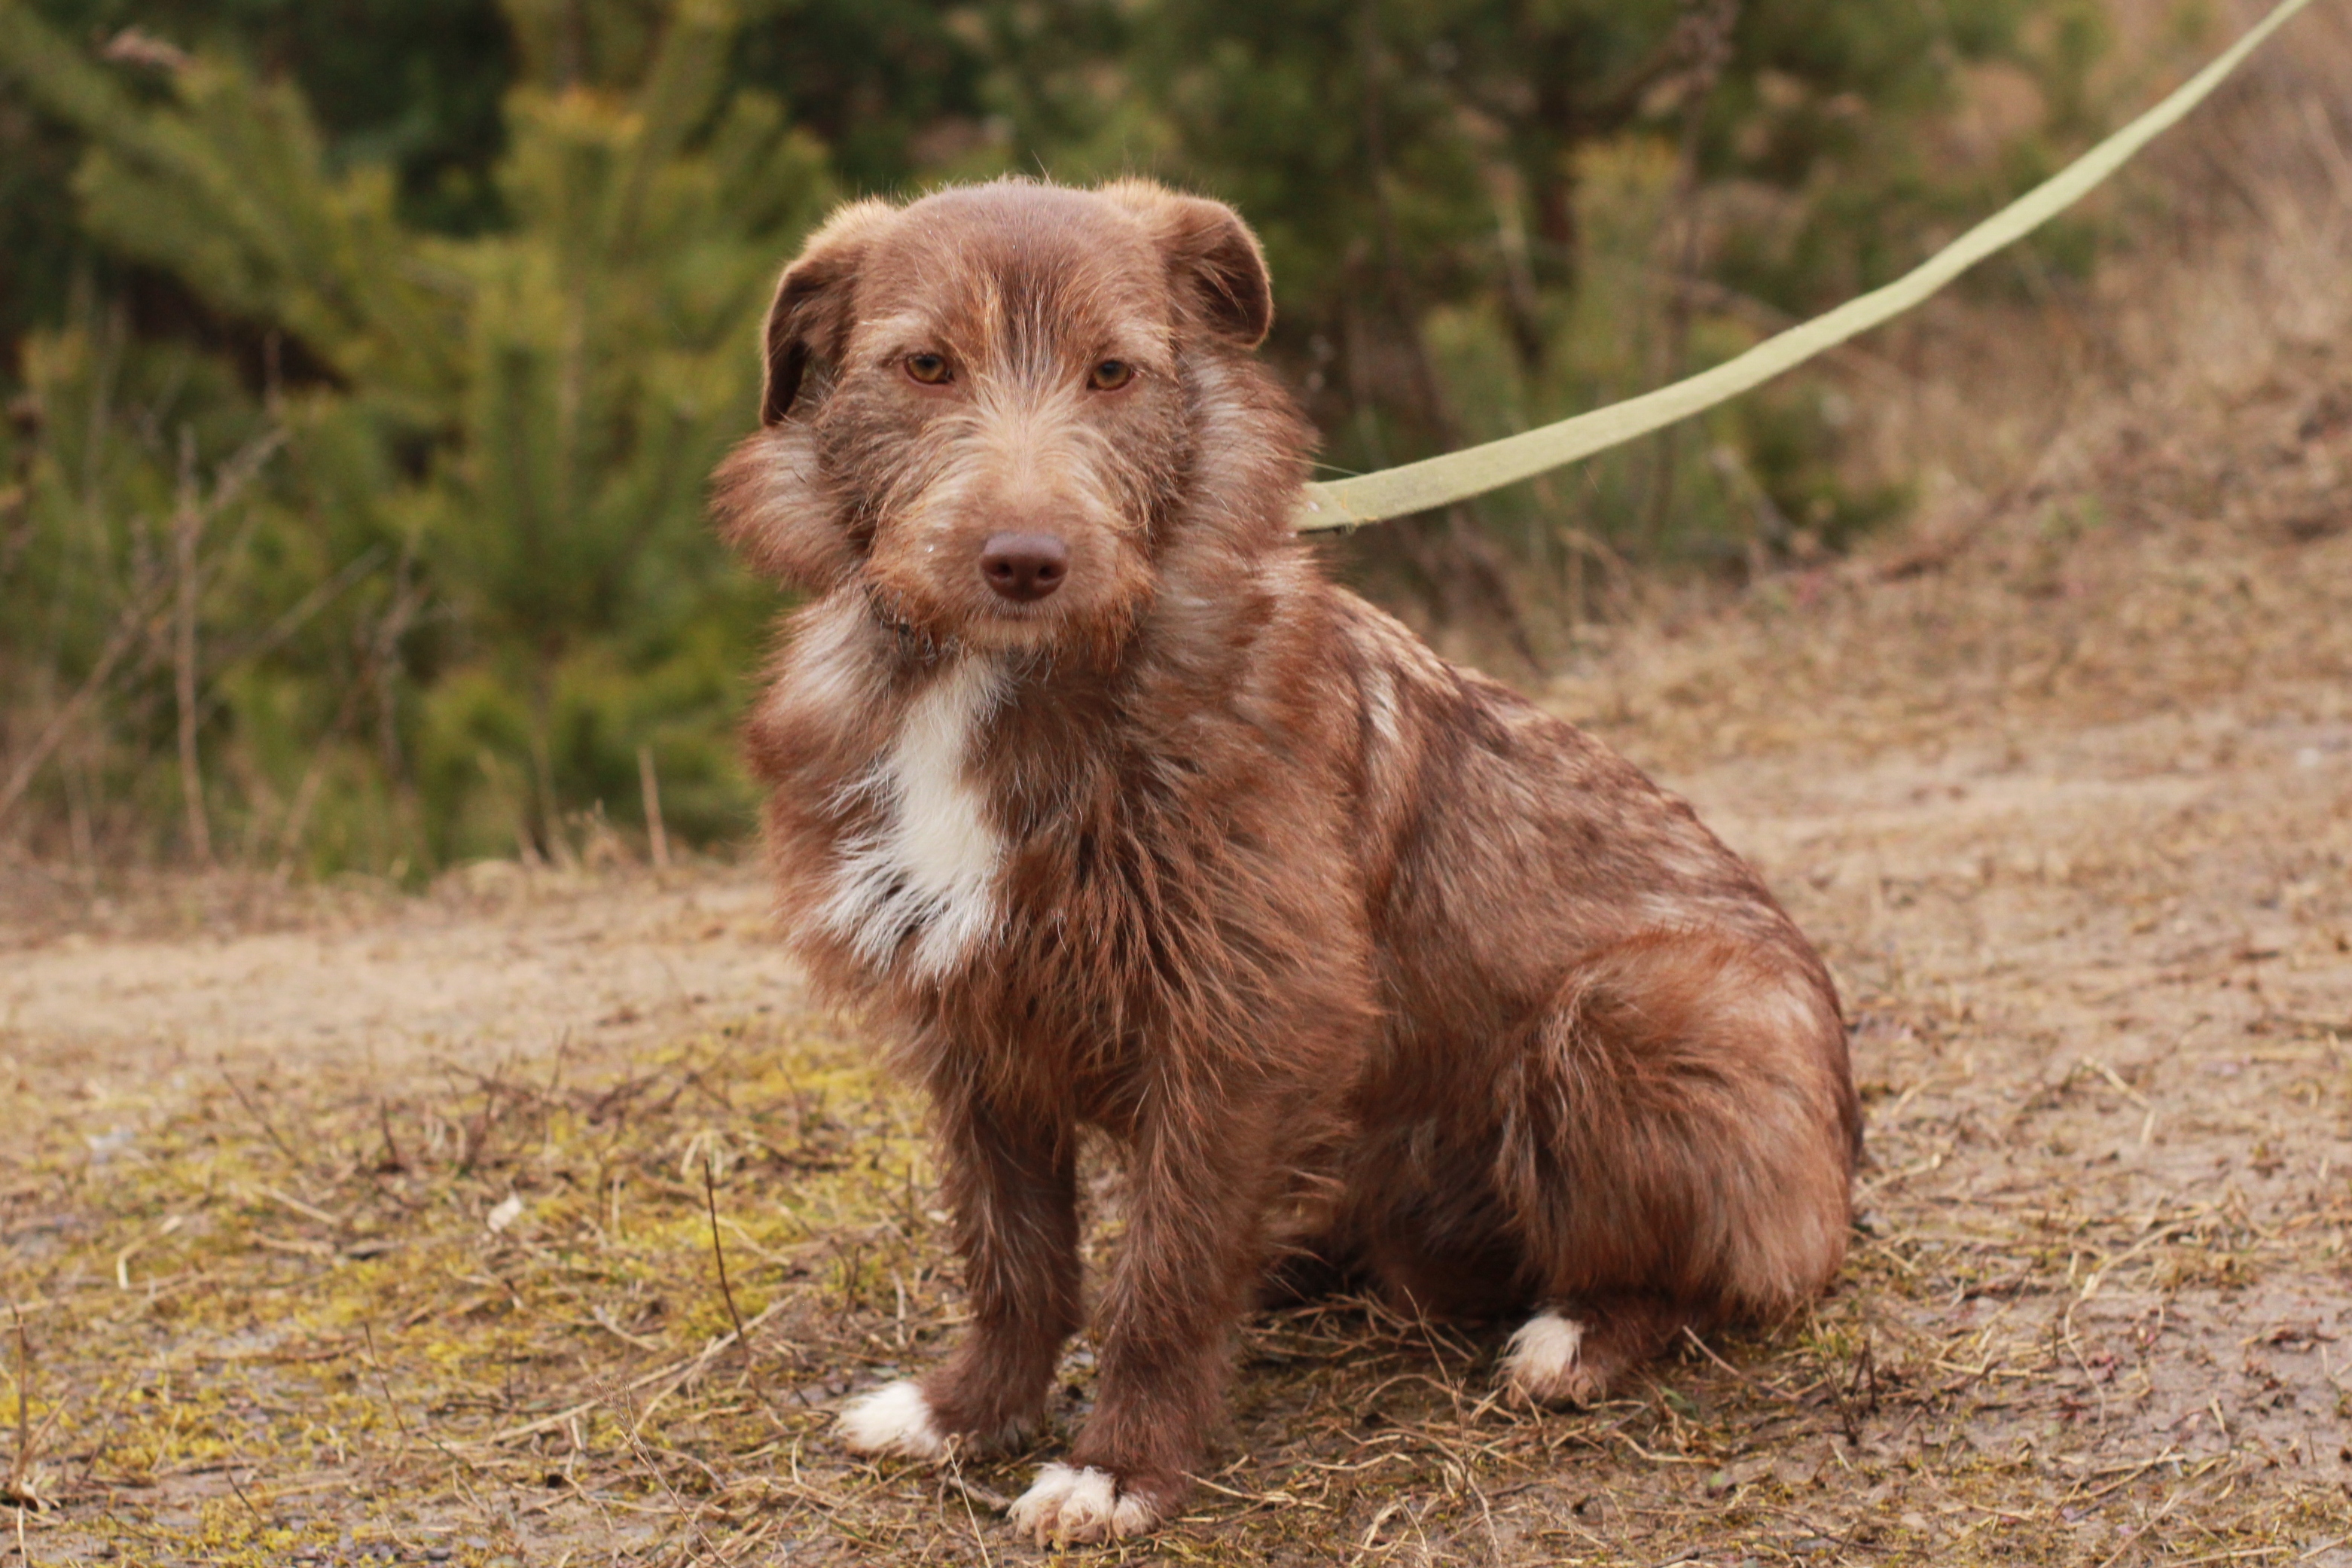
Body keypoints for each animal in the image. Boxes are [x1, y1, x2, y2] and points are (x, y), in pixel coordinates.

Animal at [712, 176, 1860, 1545]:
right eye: (924, 365)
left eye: (1113, 371)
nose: (1026, 561)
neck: (1001, 682)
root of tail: (1837, 1172)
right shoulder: (977, 1023)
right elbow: (1013, 1255)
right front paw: (969, 1409)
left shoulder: (1238, 1017)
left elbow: (1164, 1272)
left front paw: (1119, 1466)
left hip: (1644, 1010)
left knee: (1712, 1269)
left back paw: (1578, 1334)